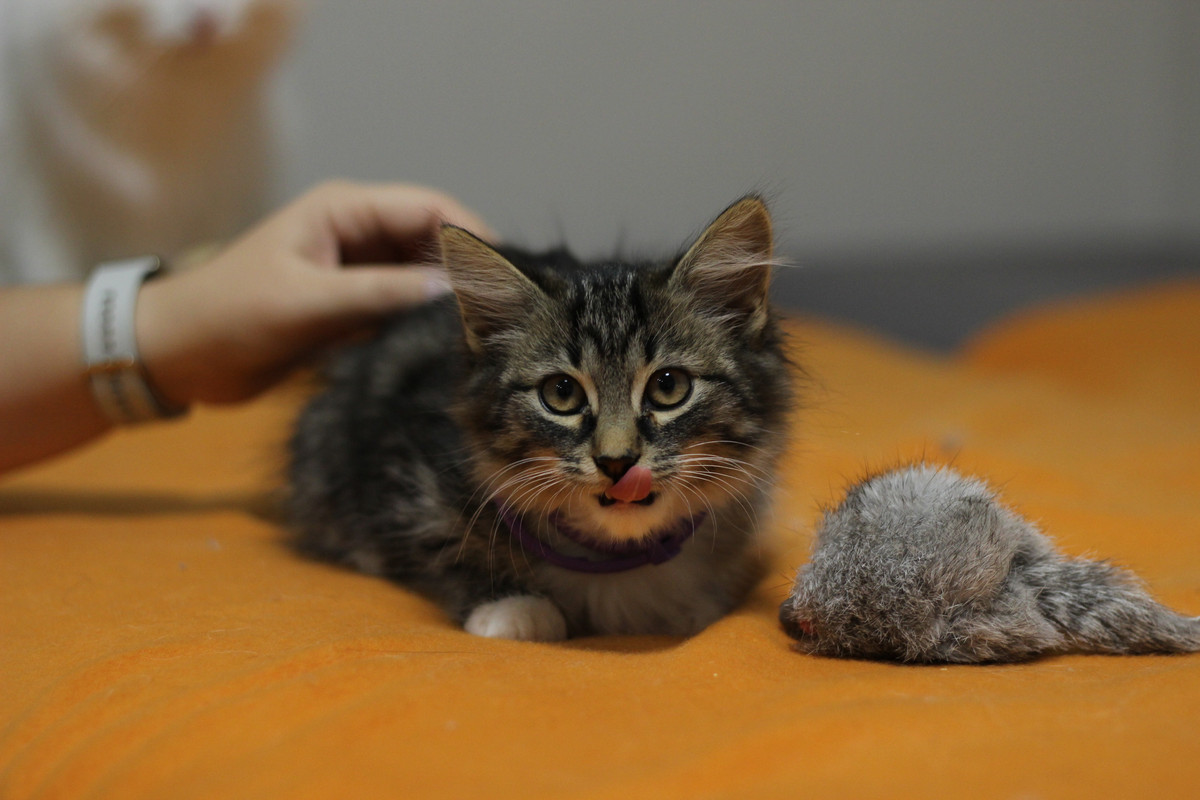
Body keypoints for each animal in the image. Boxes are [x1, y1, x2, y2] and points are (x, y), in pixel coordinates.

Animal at [288, 197, 793, 641]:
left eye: (668, 387)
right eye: (561, 393)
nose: (616, 462)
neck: (613, 555)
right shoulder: (398, 475)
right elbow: (440, 550)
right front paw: (513, 606)